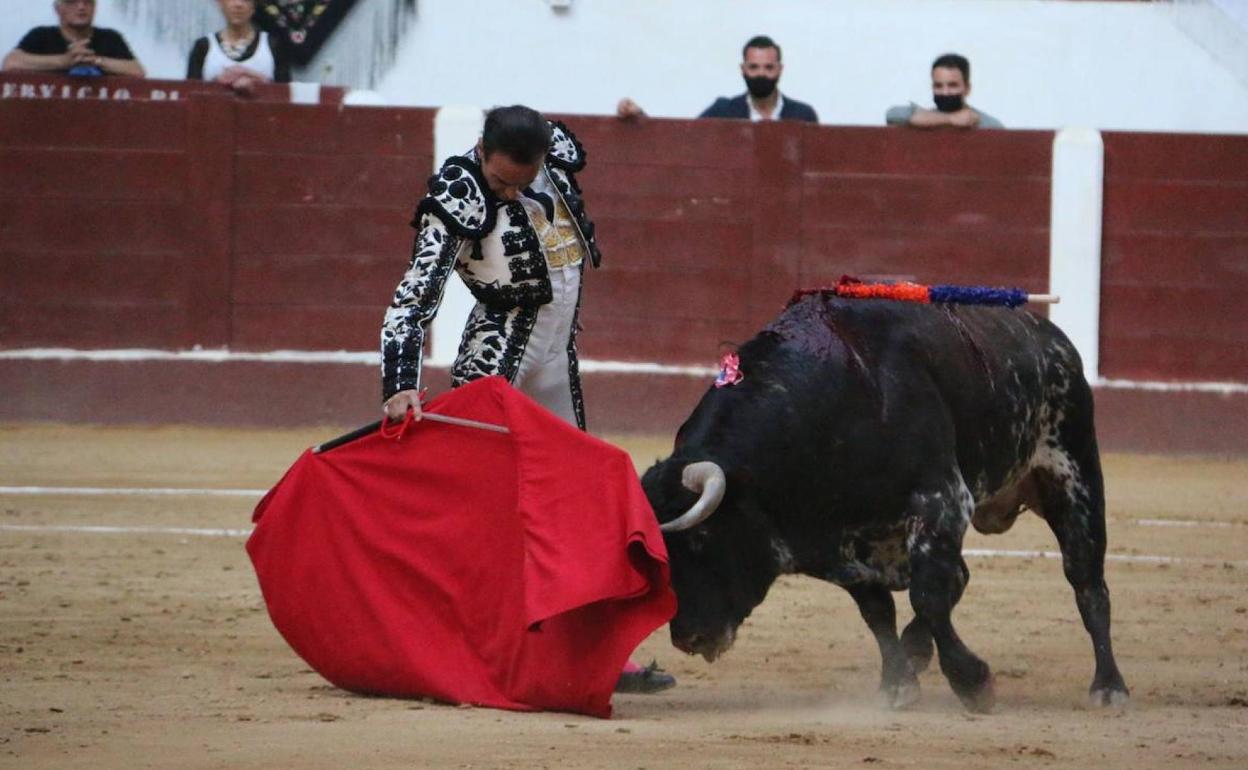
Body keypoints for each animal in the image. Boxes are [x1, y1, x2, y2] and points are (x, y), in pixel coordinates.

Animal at [643, 294, 1133, 708]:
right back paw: (917, 649)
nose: (687, 637)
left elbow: (928, 595)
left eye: (702, 539)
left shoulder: (941, 500)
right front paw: (897, 683)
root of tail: (1051, 337)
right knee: (960, 576)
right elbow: (879, 611)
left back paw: (1109, 687)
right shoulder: (840, 545)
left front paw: (973, 683)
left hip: (1074, 478)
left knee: (1088, 584)